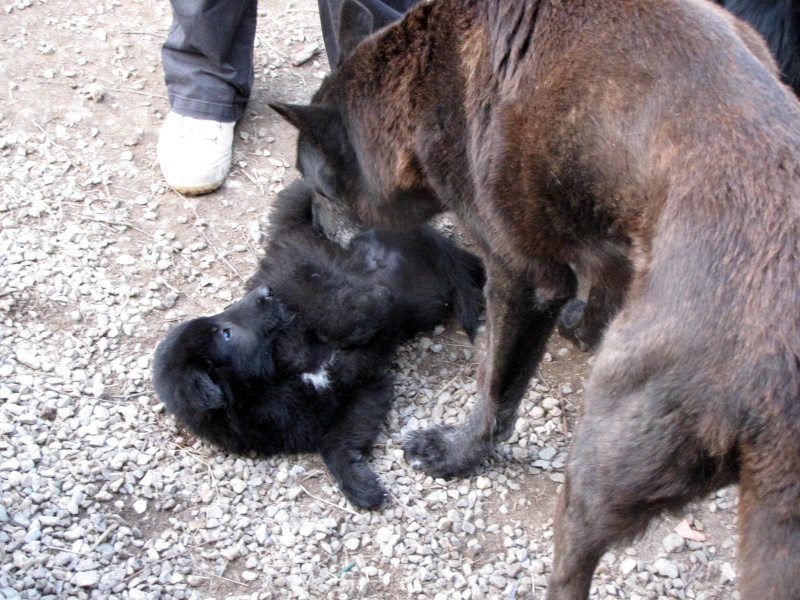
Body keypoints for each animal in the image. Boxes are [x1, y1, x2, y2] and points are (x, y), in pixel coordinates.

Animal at [153, 180, 484, 508]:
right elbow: (335, 443)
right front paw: (360, 485)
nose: (266, 291)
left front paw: (376, 305)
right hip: (426, 295)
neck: (279, 378)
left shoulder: (308, 306)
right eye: (226, 333)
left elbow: (344, 315)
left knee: (458, 261)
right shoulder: (364, 390)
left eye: (223, 325)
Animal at [272, 0, 800, 596]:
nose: (312, 226)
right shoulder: (607, 229)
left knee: (572, 565)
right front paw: (584, 327)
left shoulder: (521, 276)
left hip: (603, 461)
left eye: (320, 188)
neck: (426, 75)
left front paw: (457, 454)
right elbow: (604, 285)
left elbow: (495, 389)